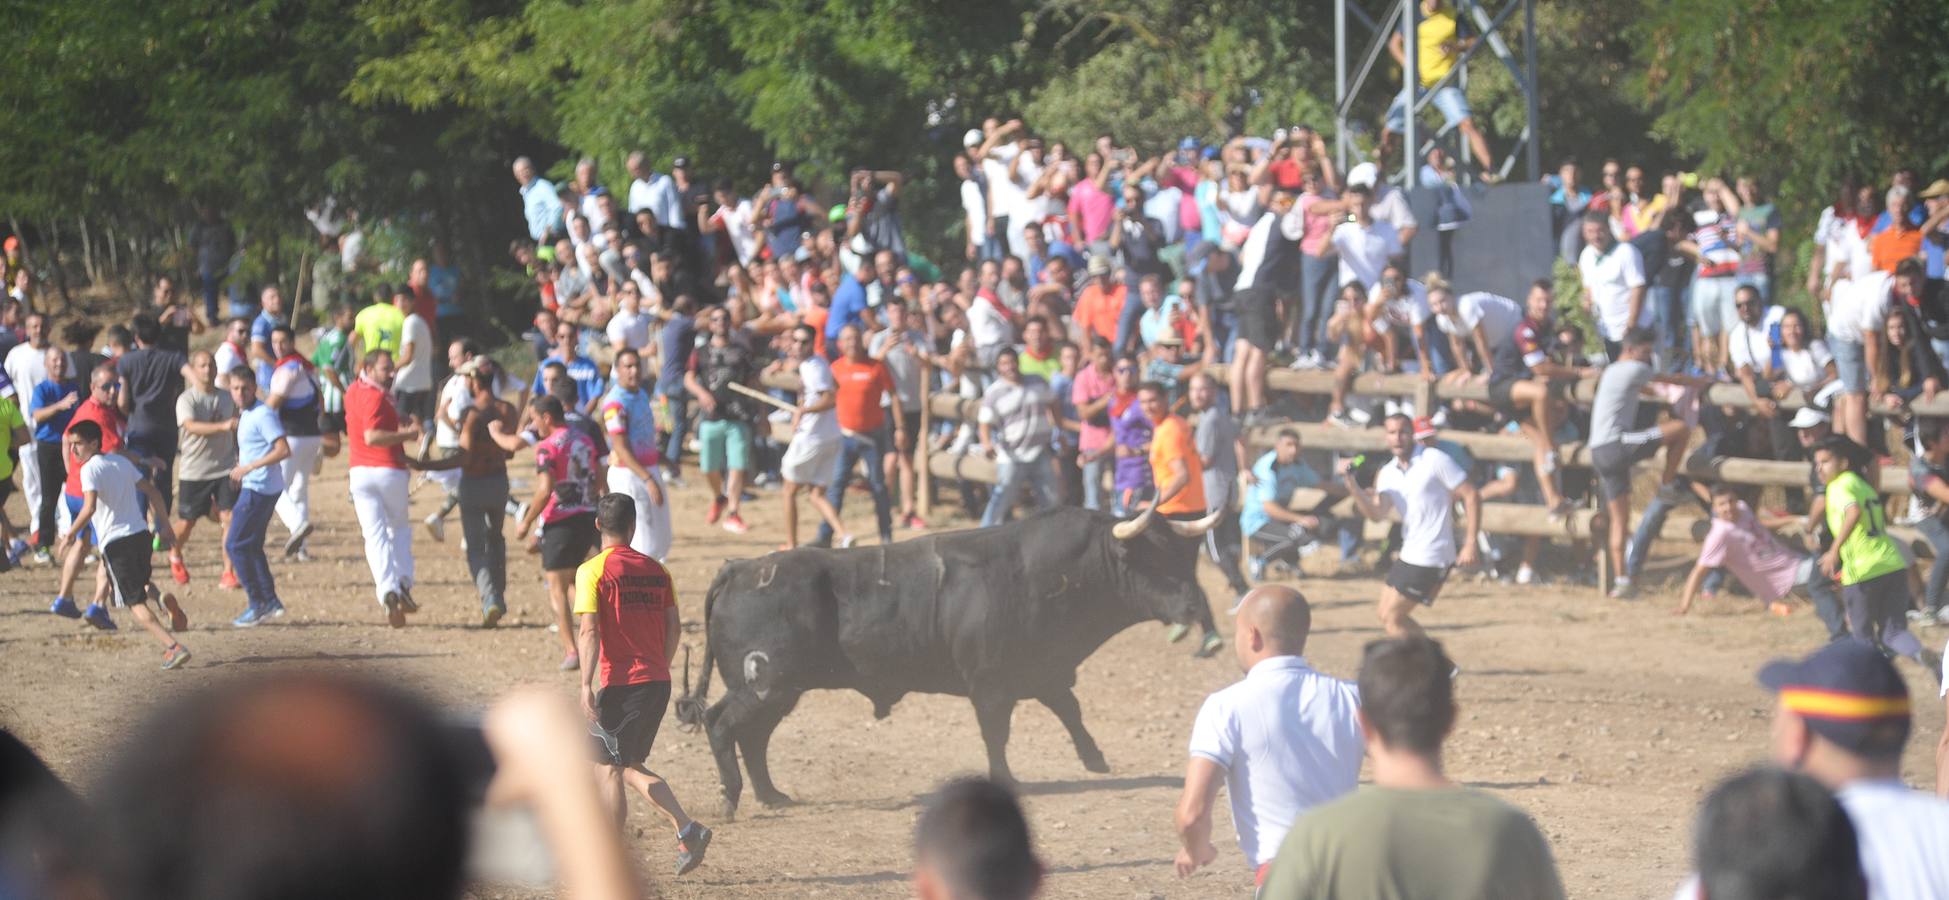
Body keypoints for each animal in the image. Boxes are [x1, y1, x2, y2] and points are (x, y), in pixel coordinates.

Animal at [674, 502, 1216, 818]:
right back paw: (731, 799)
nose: (1196, 608)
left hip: (782, 690)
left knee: (754, 737)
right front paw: (1008, 780)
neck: (1044, 574)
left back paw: (771, 795)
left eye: (1186, 558)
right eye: (1151, 558)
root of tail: (743, 568)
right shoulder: (991, 685)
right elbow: (998, 733)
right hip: (766, 683)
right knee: (724, 725)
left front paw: (1094, 758)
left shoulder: (1040, 670)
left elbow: (1069, 707)